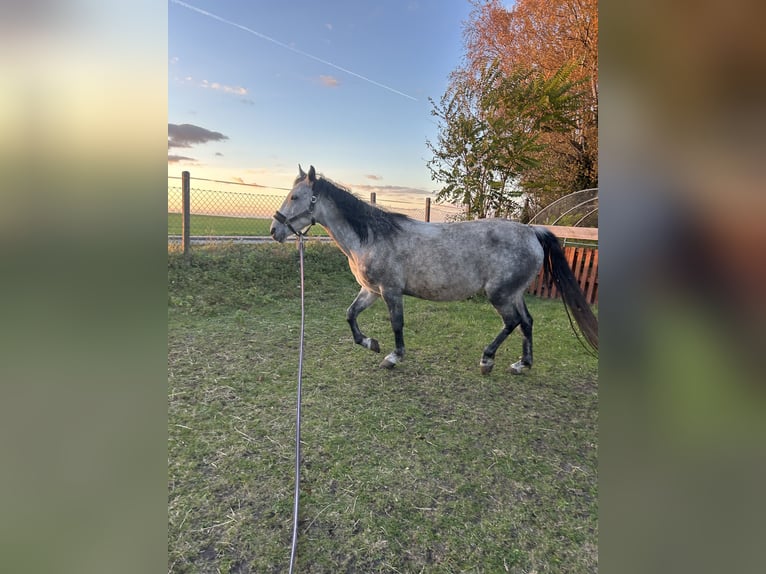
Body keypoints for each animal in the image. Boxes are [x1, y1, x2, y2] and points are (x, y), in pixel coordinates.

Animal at [270, 165, 598, 374]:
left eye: (295, 197)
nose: (275, 230)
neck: (372, 237)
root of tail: (532, 231)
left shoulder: (390, 291)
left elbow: (397, 324)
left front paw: (393, 357)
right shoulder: (370, 290)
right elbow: (350, 315)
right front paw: (371, 343)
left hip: (500, 295)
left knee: (513, 322)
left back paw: (487, 360)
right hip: (513, 292)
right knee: (527, 322)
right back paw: (522, 364)